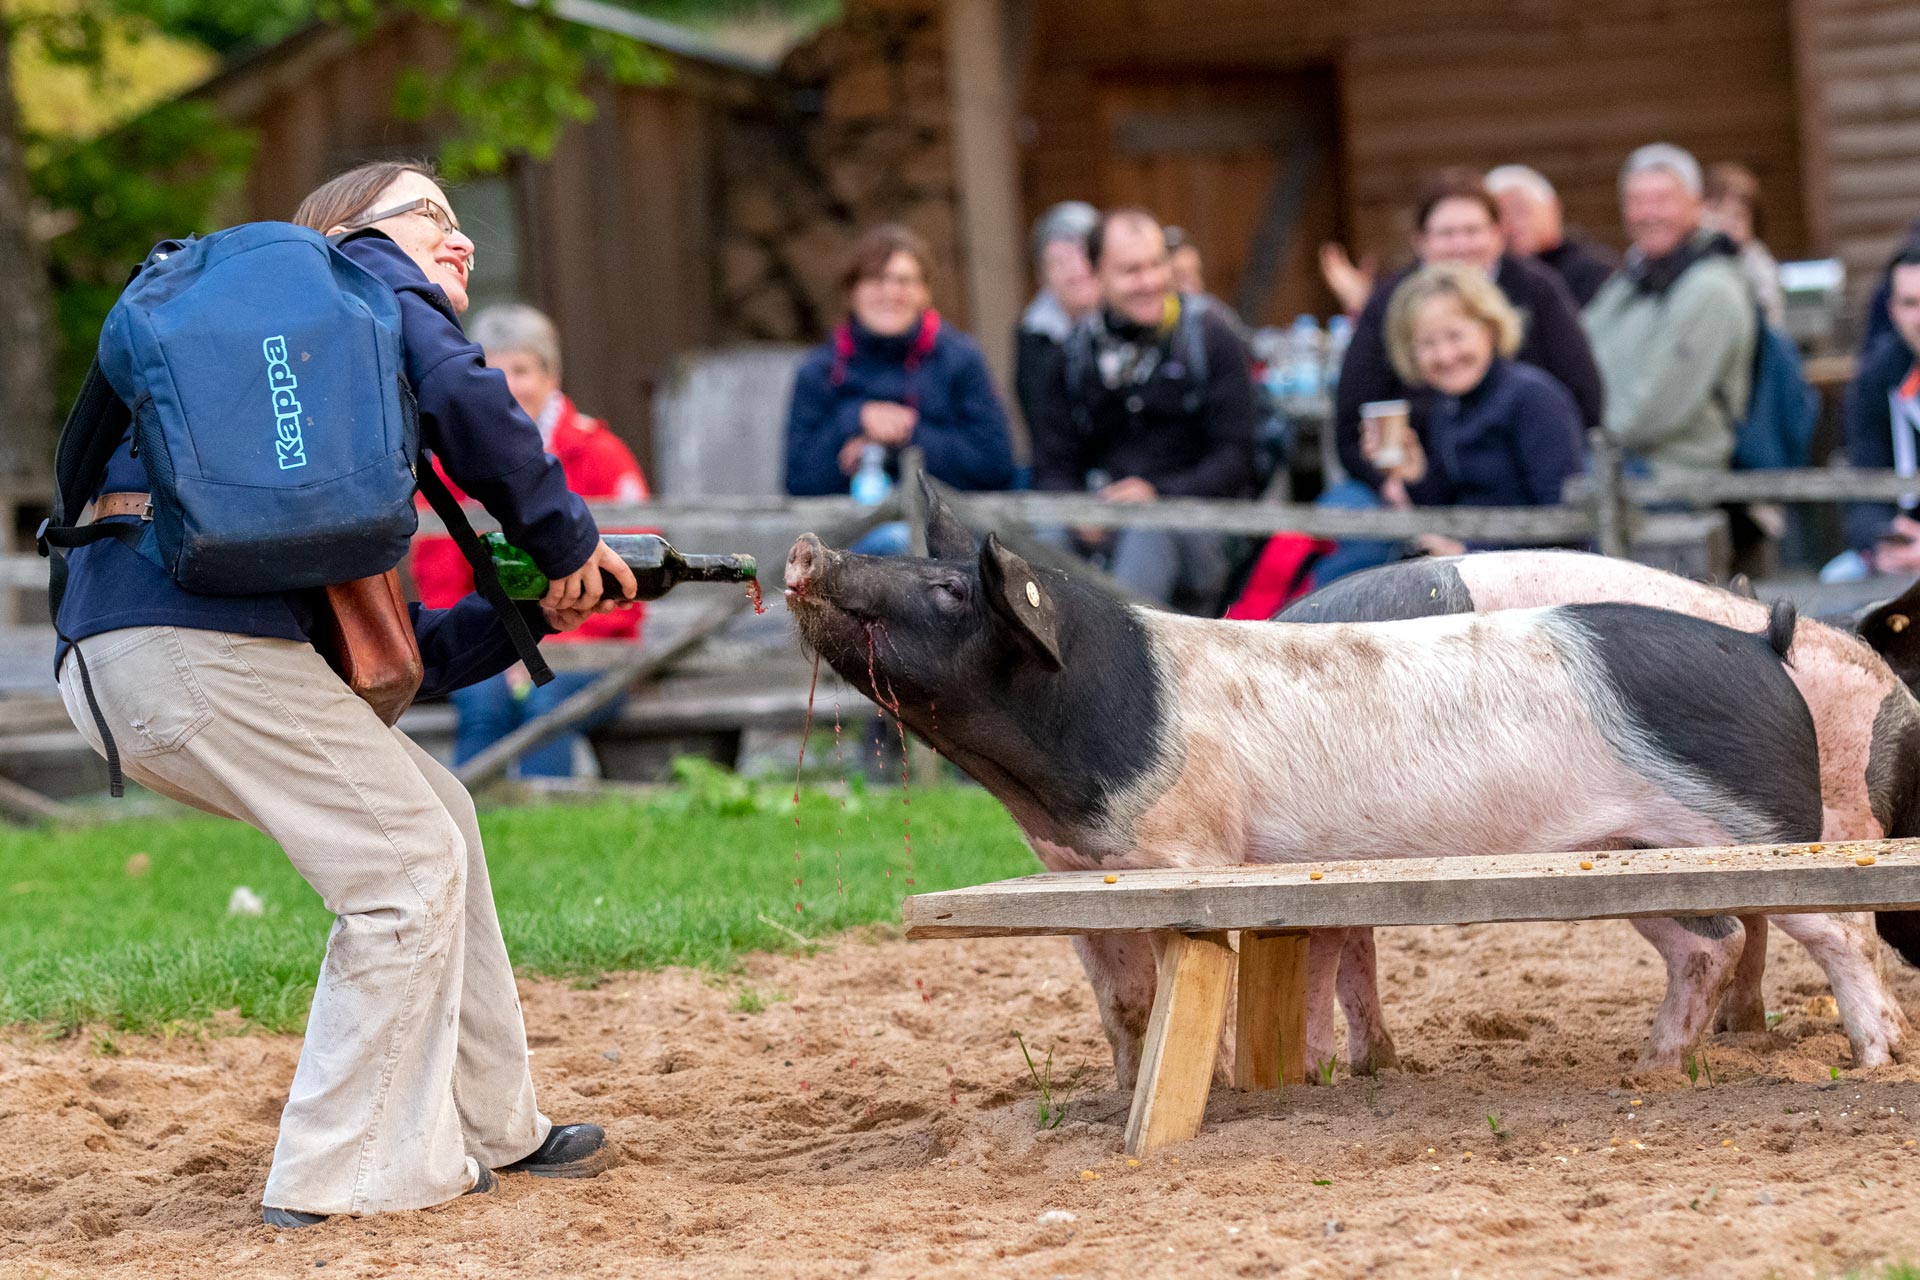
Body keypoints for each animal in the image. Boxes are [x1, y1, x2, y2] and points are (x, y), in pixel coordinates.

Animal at [784, 490, 1824, 1085]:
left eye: (951, 591)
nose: (805, 551)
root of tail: (1762, 644)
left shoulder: (1192, 855)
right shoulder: (1077, 879)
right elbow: (1121, 1007)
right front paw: (1120, 1092)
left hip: (1770, 831)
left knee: (1814, 934)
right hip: (1637, 859)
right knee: (1711, 943)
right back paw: (1653, 1071)